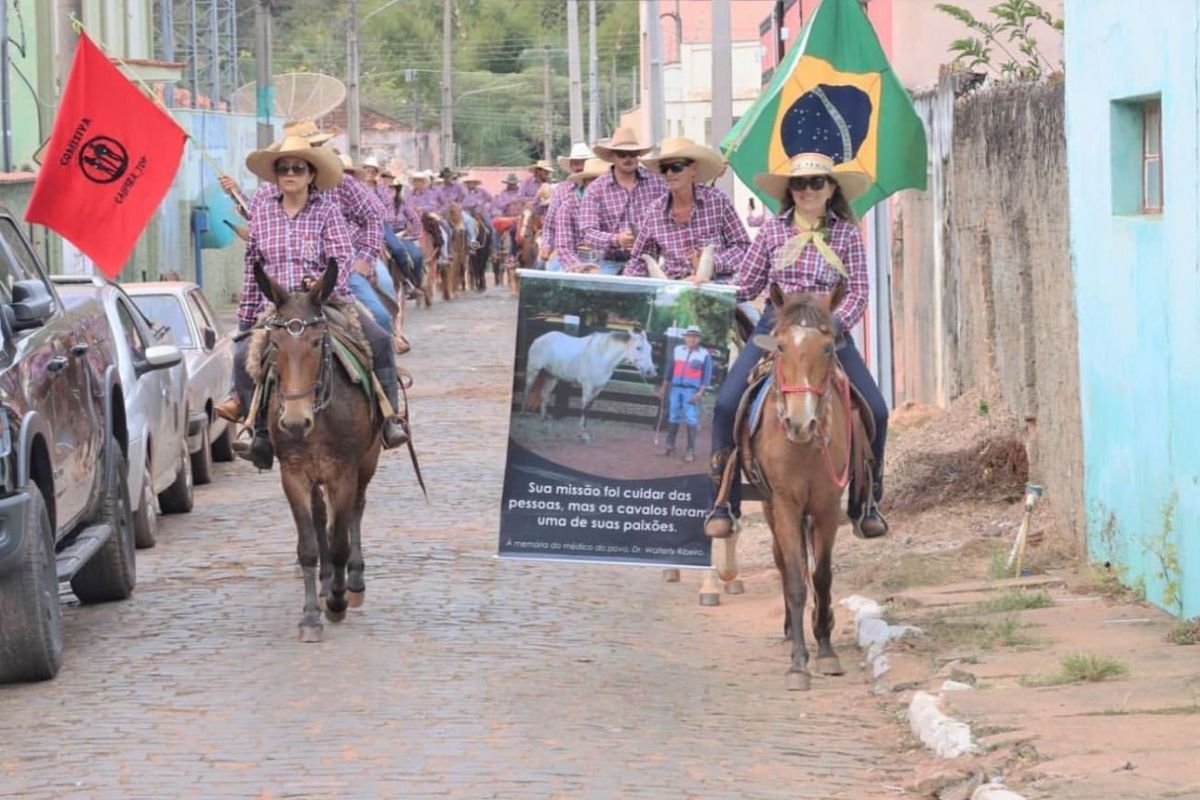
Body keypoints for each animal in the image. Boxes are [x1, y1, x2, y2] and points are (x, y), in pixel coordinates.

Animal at [249, 257, 384, 642]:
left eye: (315, 342)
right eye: (275, 344)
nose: (295, 422)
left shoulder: (344, 471)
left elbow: (339, 541)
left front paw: (338, 601)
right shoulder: (294, 474)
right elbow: (309, 545)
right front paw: (311, 615)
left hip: (366, 463)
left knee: (354, 512)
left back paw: (352, 583)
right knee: (323, 517)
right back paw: (325, 586)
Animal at [523, 326, 657, 443]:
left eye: (650, 349)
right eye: (638, 348)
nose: (651, 372)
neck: (602, 357)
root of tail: (540, 338)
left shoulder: (599, 388)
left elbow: (589, 407)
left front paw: (584, 434)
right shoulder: (588, 386)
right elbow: (585, 408)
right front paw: (583, 435)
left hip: (551, 376)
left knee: (544, 396)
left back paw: (545, 426)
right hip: (533, 372)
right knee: (527, 391)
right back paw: (522, 419)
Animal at [739, 286, 864, 690]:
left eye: (826, 348)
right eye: (780, 346)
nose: (800, 422)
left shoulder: (827, 505)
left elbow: (822, 577)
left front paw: (826, 650)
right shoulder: (785, 504)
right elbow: (795, 578)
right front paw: (798, 663)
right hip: (769, 507)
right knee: (781, 561)